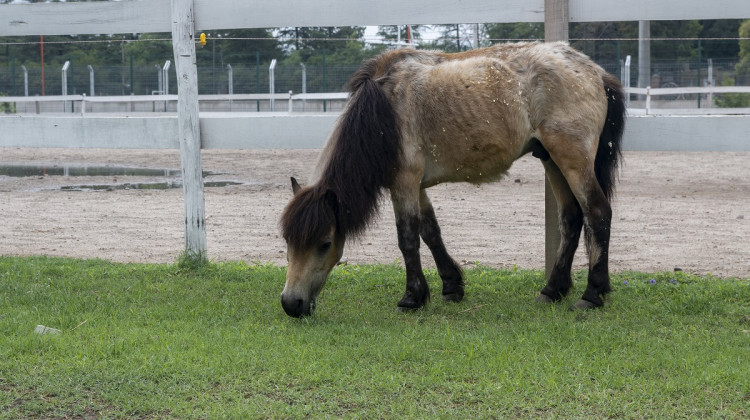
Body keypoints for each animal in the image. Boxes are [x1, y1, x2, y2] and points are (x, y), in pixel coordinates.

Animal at [280, 43, 624, 318]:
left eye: (325, 244)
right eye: (287, 241)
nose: (291, 304)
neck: (383, 112)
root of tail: (595, 71)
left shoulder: (404, 184)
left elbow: (407, 238)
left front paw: (412, 297)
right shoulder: (415, 186)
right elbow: (430, 232)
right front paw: (451, 287)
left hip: (572, 159)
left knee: (597, 213)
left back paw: (591, 294)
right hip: (551, 161)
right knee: (571, 219)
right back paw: (552, 290)